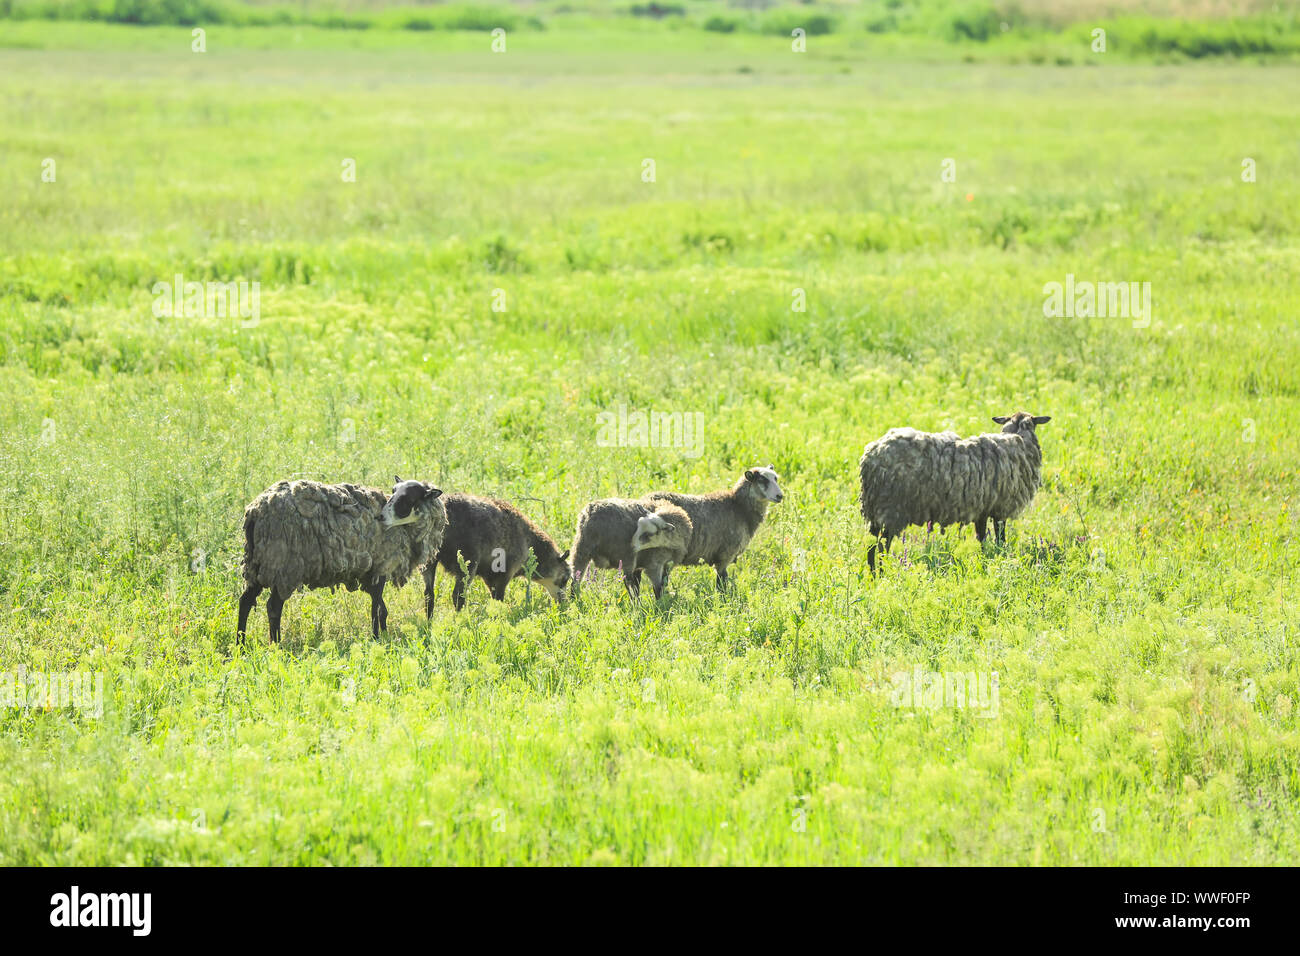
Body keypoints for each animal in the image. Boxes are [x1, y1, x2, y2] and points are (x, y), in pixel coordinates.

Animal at [237, 477, 447, 643]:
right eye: (394, 492)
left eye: (408, 498)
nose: (380, 517)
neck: (405, 530)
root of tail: (256, 511)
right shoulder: (381, 565)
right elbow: (377, 609)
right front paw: (376, 638)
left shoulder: (370, 572)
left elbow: (382, 609)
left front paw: (384, 634)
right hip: (284, 565)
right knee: (273, 606)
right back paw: (276, 644)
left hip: (258, 563)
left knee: (245, 601)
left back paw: (241, 644)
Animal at [422, 493, 571, 613]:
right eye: (564, 579)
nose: (563, 601)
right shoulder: (503, 573)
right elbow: (498, 599)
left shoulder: (489, 576)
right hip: (466, 562)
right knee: (458, 596)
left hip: (428, 560)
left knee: (429, 595)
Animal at [643, 464, 784, 590]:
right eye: (762, 480)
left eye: (776, 478)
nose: (780, 496)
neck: (739, 507)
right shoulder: (726, 554)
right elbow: (722, 581)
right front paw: (724, 599)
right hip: (660, 554)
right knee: (658, 585)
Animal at [857, 411, 1051, 570]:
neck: (1017, 438)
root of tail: (870, 458)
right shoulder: (1001, 507)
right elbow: (1000, 538)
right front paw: (999, 555)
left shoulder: (982, 508)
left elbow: (982, 537)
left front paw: (984, 558)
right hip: (892, 509)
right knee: (883, 544)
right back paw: (883, 572)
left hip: (876, 510)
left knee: (871, 544)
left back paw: (873, 574)